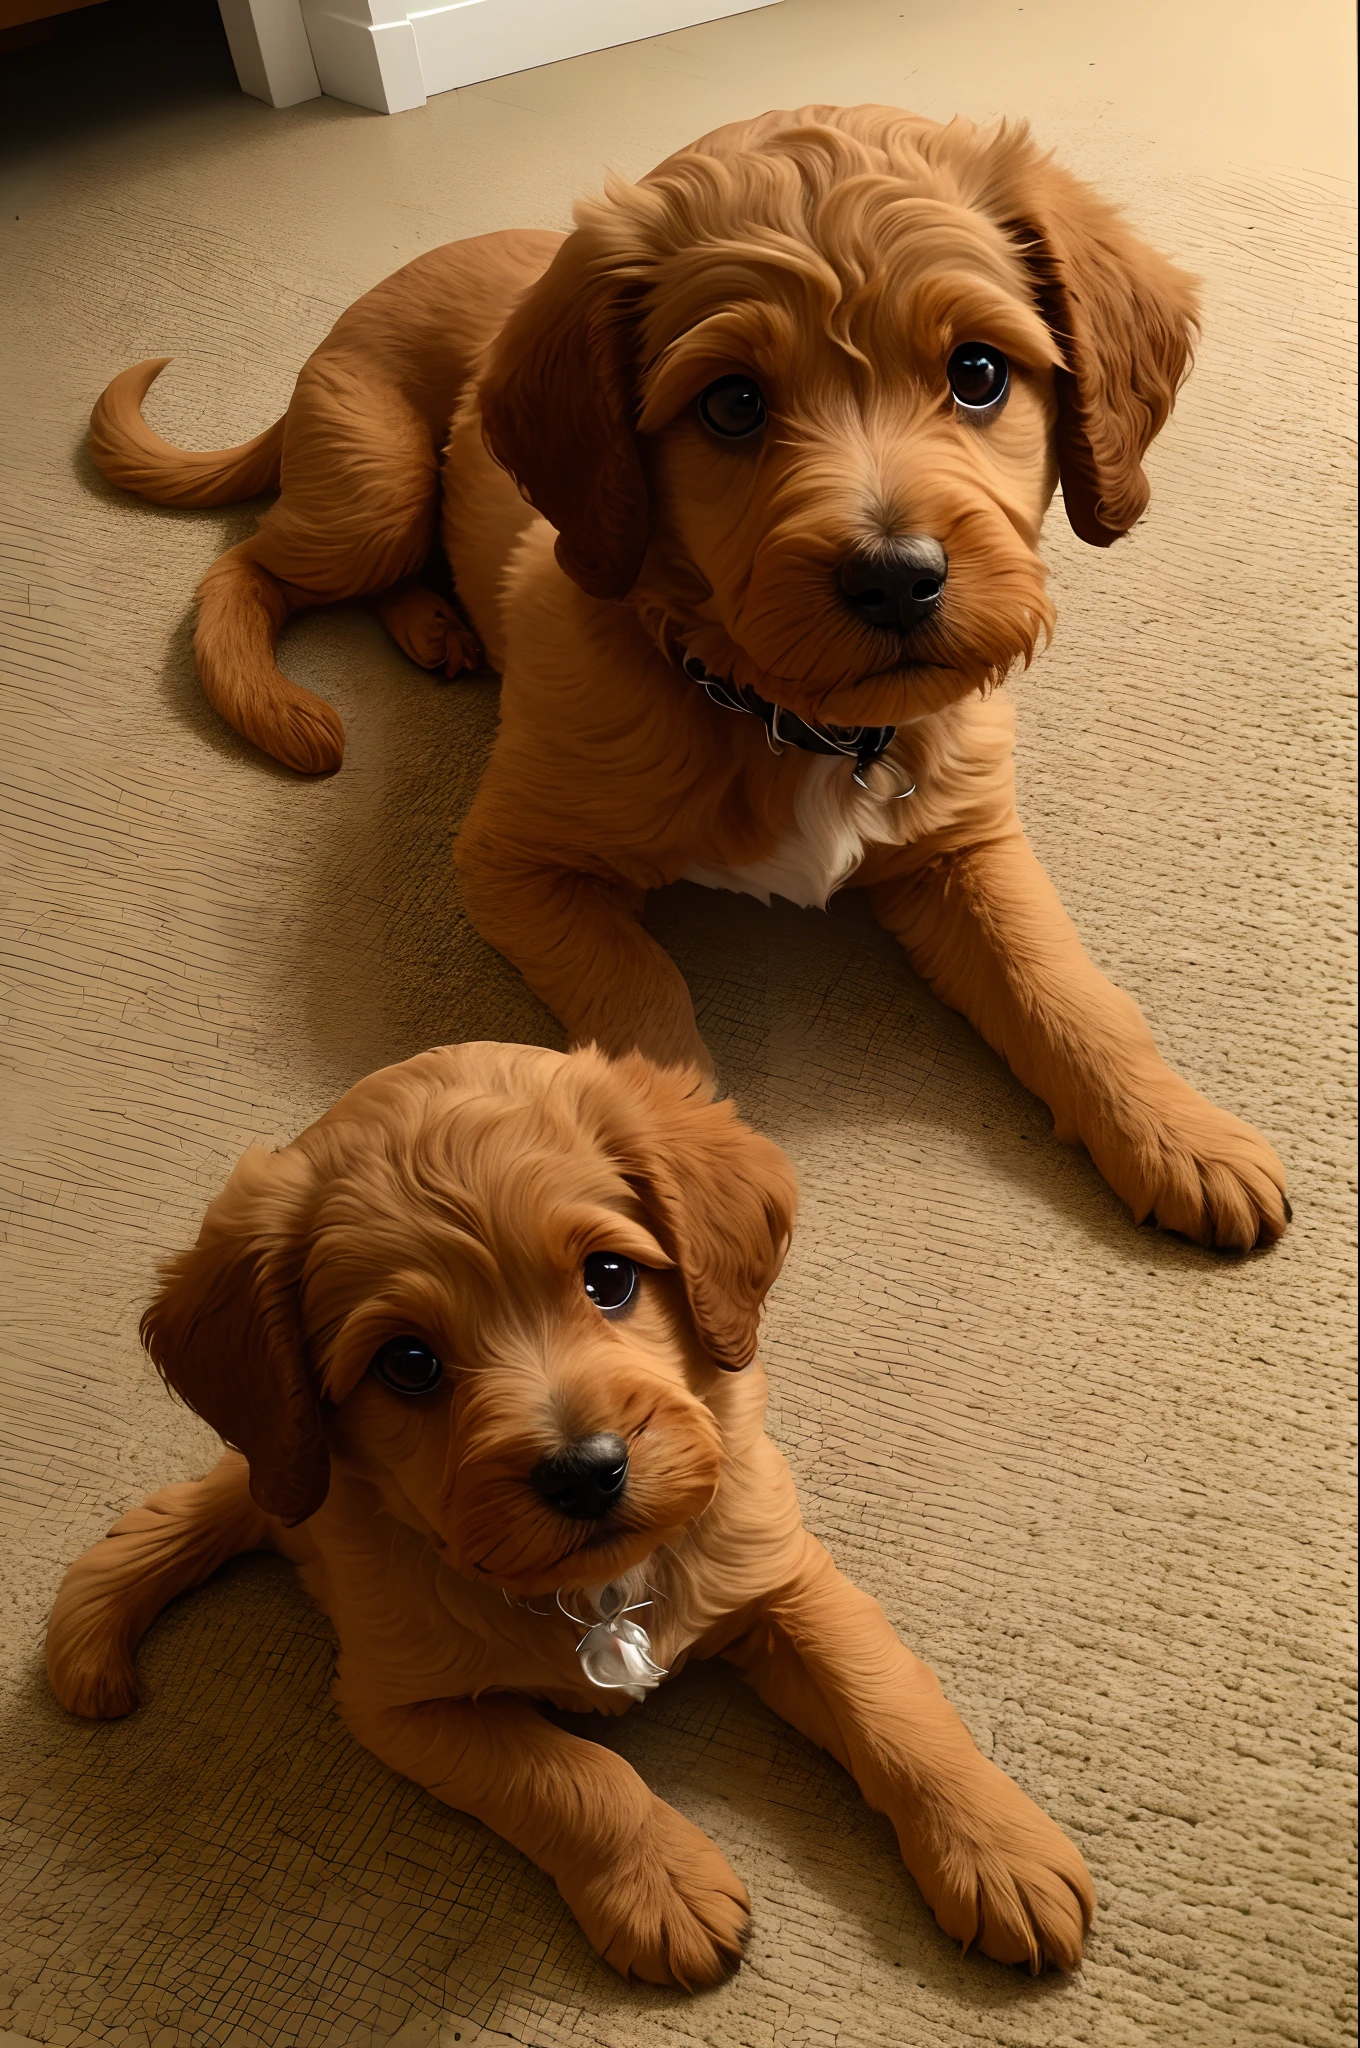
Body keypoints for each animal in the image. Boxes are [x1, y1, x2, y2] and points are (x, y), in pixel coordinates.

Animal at [50, 1048, 1097, 1974]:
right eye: (408, 1363)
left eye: (610, 1278)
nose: (586, 1474)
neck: (599, 1593)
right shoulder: (398, 1703)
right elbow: (573, 1780)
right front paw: (664, 1884)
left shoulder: (786, 1576)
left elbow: (890, 1703)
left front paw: (996, 1849)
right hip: (290, 1488)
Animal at [87, 103, 1286, 1253]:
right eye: (733, 405)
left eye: (979, 374)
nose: (897, 580)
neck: (782, 715)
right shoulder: (515, 860)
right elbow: (641, 992)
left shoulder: (966, 843)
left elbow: (1063, 985)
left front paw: (1180, 1134)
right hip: (373, 485)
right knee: (248, 565)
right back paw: (288, 699)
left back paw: (437, 625)